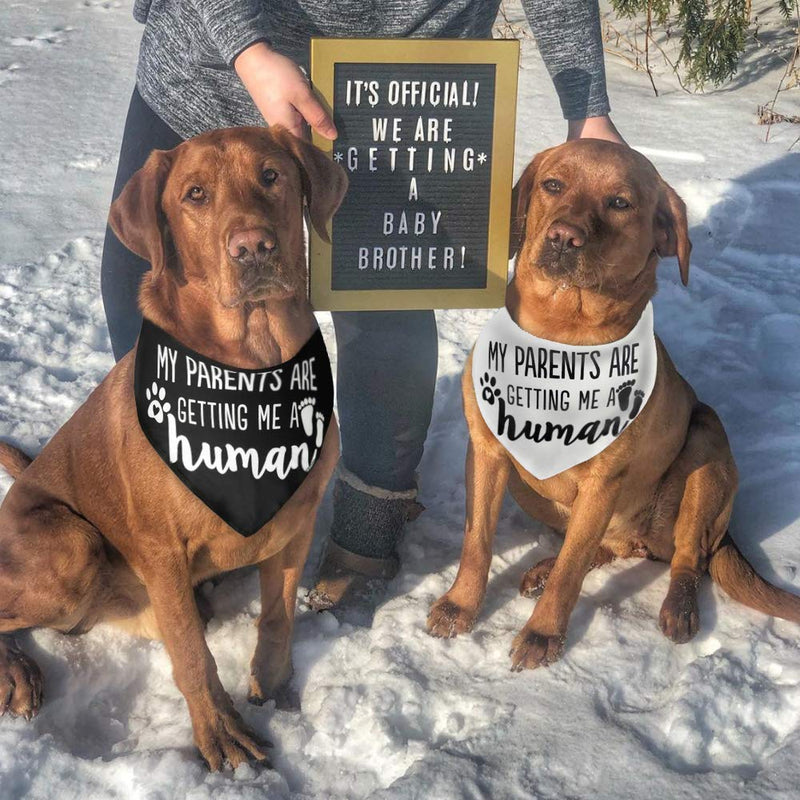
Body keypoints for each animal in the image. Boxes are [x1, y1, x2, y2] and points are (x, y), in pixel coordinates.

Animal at [0, 126, 346, 768]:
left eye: (271, 176)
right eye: (195, 194)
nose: (253, 248)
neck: (250, 364)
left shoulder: (295, 524)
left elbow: (279, 618)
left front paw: (273, 688)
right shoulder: (162, 551)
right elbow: (191, 653)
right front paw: (221, 731)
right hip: (73, 547)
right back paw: (15, 671)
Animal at [428, 139, 796, 668]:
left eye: (620, 203)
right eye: (553, 184)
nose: (563, 237)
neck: (561, 337)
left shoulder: (603, 482)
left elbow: (571, 573)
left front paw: (542, 634)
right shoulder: (487, 454)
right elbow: (477, 542)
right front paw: (460, 606)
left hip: (706, 446)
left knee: (686, 559)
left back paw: (679, 608)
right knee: (601, 549)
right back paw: (544, 566)